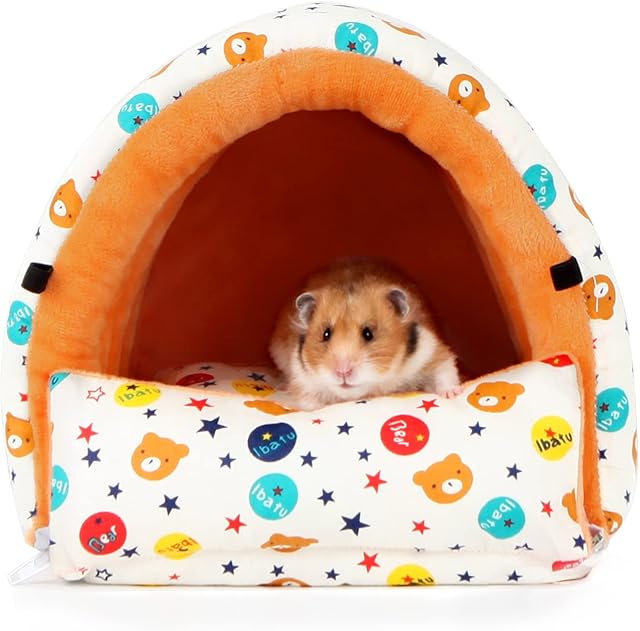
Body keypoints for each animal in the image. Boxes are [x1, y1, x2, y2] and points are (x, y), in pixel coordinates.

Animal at [269, 258, 461, 410]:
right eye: (326, 334)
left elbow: (445, 371)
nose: (342, 372)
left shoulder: (431, 351)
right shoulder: (303, 379)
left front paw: (453, 394)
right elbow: (308, 401)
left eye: (368, 334)